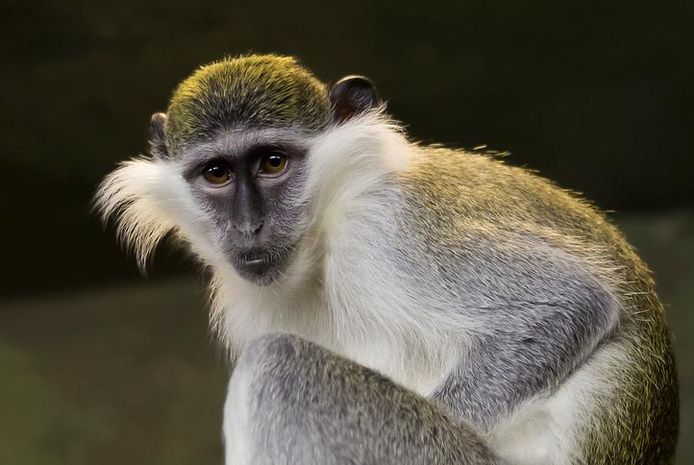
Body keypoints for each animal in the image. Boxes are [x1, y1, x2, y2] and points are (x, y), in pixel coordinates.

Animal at [96, 55, 680, 464]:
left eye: (273, 162)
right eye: (216, 173)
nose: (248, 226)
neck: (327, 231)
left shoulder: (387, 227)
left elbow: (567, 305)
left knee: (280, 364)